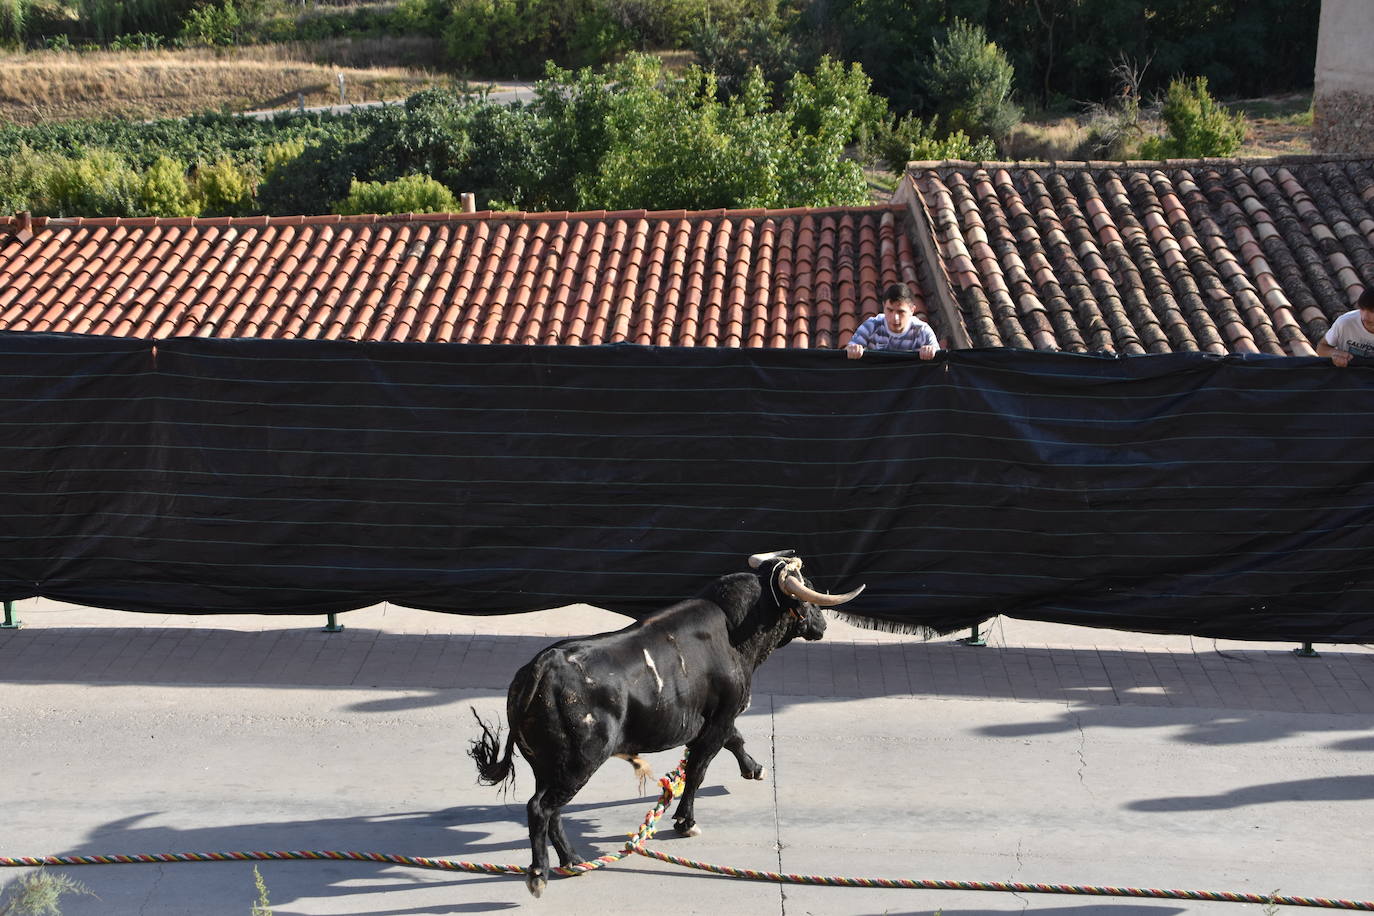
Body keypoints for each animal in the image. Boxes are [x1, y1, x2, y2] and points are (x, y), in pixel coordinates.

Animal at [469, 552, 857, 895]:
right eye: (806, 590)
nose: (823, 624)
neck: (734, 632)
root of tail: (544, 665)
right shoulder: (721, 716)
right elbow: (700, 768)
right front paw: (686, 822)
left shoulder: (716, 719)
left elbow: (734, 740)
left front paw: (755, 768)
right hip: (578, 762)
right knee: (541, 808)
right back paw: (540, 874)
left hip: (548, 764)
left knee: (552, 811)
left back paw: (573, 860)